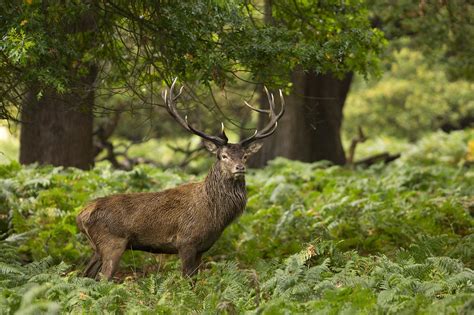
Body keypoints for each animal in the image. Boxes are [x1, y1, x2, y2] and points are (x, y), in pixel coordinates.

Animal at [75, 78, 284, 280]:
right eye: (223, 156)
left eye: (245, 156)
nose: (240, 168)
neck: (216, 214)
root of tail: (81, 215)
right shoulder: (186, 242)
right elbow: (187, 281)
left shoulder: (201, 249)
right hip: (113, 243)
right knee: (103, 280)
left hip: (97, 248)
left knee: (84, 276)